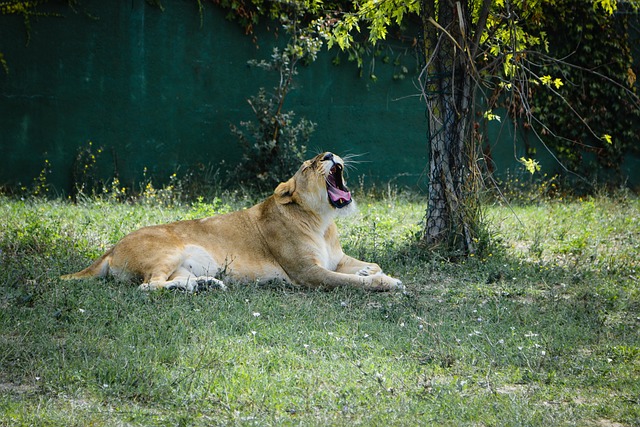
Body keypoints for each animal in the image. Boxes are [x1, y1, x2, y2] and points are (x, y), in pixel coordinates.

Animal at [61, 152, 403, 292]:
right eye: (309, 166)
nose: (331, 154)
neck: (322, 220)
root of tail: (110, 249)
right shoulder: (308, 273)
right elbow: (352, 281)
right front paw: (386, 282)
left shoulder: (336, 258)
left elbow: (366, 265)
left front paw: (368, 269)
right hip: (166, 252)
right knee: (149, 286)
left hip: (185, 263)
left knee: (171, 281)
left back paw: (204, 284)